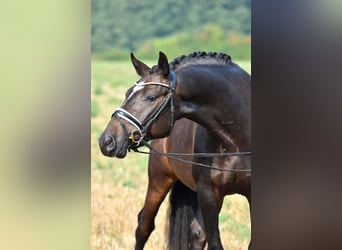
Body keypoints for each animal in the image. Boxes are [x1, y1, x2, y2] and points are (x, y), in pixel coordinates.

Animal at [99, 51, 251, 249]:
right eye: (127, 93)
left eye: (151, 97)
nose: (106, 141)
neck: (235, 140)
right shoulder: (208, 192)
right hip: (160, 178)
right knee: (144, 226)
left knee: (196, 233)